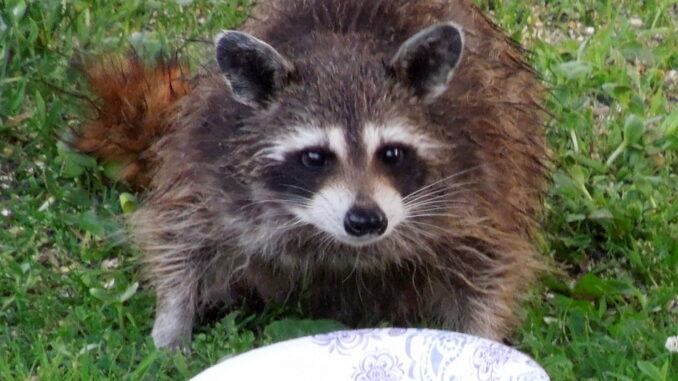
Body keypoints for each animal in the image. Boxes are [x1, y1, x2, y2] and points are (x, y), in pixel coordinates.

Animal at [73, 0, 552, 350]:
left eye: (392, 153)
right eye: (316, 157)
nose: (366, 220)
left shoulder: (478, 179)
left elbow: (487, 263)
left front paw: (482, 338)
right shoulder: (210, 160)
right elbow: (182, 235)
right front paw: (173, 319)